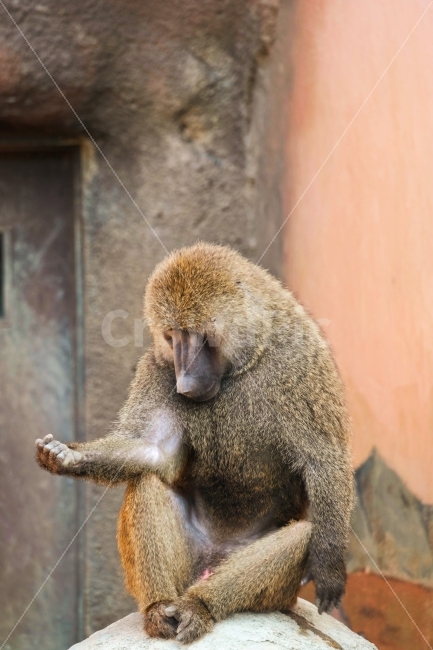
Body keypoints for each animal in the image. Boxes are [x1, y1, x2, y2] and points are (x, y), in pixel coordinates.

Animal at [36, 242, 354, 644]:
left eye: (199, 336)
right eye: (172, 337)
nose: (184, 385)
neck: (248, 357)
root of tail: (210, 562)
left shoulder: (304, 361)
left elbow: (324, 459)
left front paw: (330, 568)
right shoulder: (158, 368)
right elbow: (155, 451)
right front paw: (65, 457)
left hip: (274, 590)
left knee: (301, 533)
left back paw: (199, 606)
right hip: (188, 562)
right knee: (146, 481)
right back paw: (160, 609)